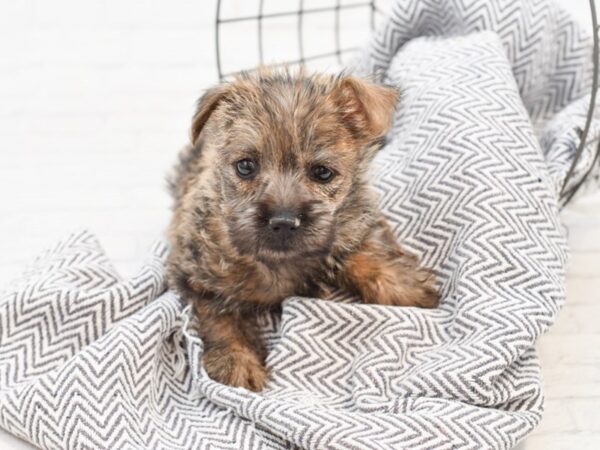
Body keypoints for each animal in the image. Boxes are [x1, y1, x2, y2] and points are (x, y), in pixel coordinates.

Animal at [166, 69, 438, 390]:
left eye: (322, 172)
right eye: (245, 166)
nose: (283, 221)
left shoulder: (352, 221)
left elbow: (364, 251)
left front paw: (407, 285)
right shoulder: (199, 274)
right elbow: (222, 319)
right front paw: (237, 362)